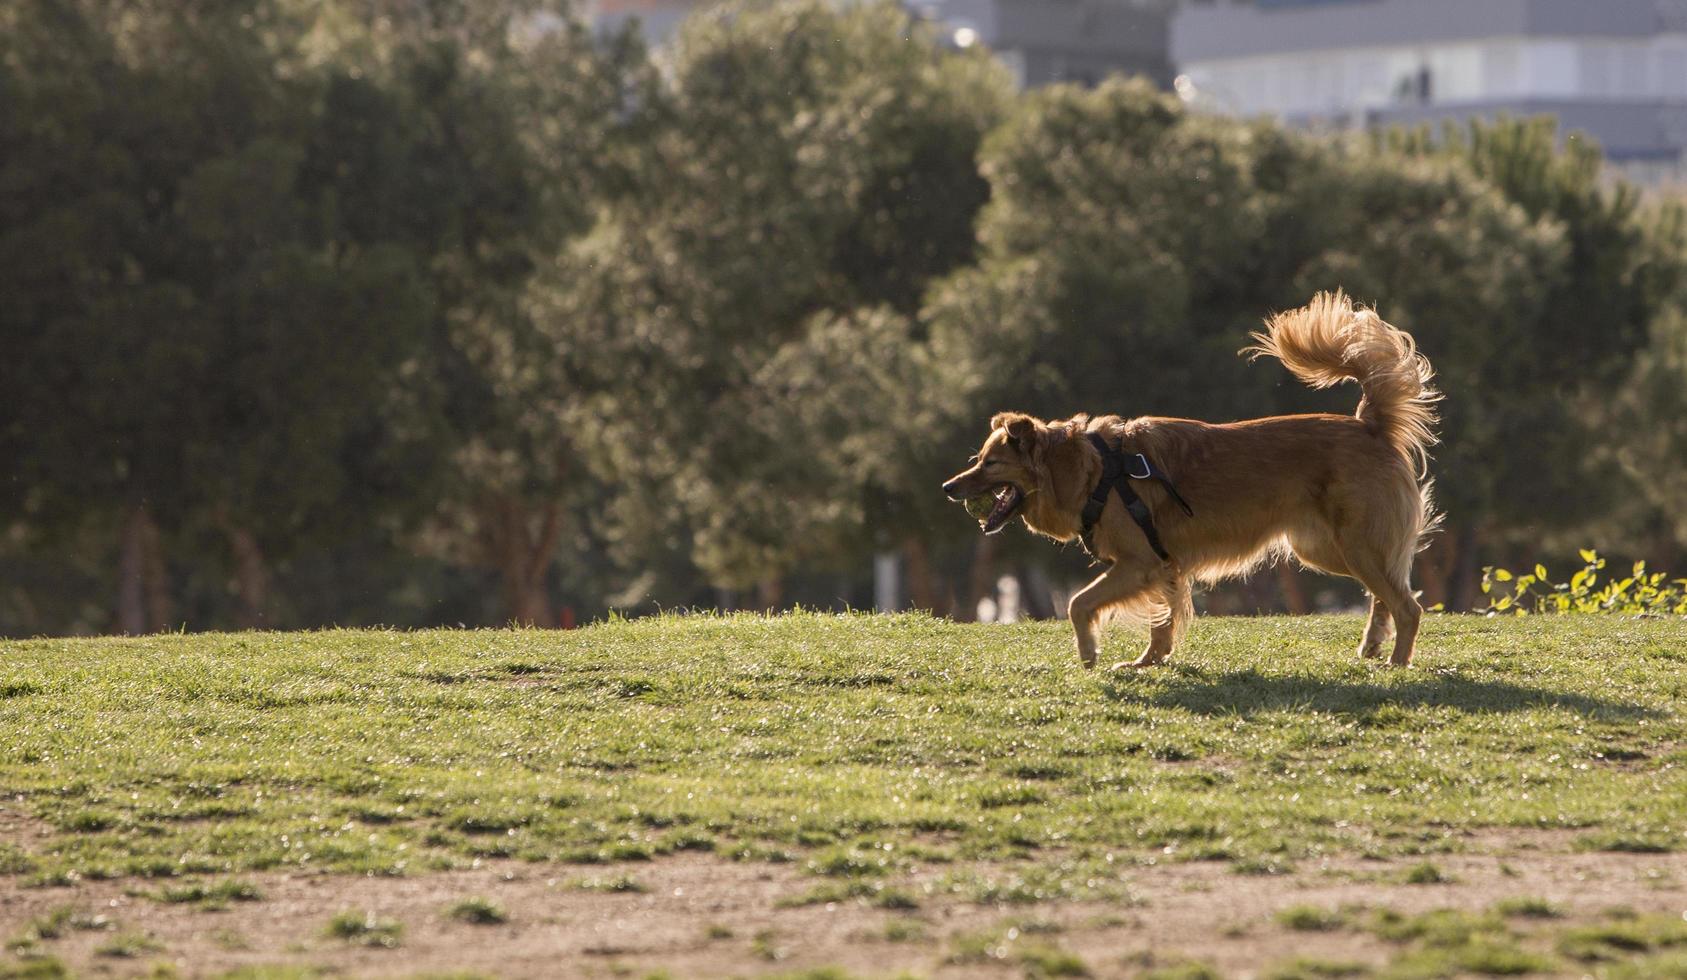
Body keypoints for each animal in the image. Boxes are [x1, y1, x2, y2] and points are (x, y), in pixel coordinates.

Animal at [937, 290, 1437, 667]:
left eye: (990, 464)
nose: (947, 488)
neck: (1093, 469)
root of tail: (1369, 425)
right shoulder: (1165, 565)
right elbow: (1161, 623)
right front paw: (1148, 663)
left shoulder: (1139, 563)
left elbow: (1079, 603)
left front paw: (1090, 654)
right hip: (1326, 548)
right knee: (1388, 593)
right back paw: (1372, 646)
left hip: (1353, 544)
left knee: (1408, 605)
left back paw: (1397, 662)